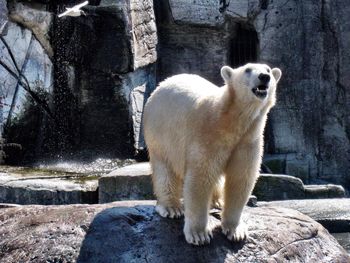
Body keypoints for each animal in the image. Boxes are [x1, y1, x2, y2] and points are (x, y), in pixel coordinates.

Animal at [142, 63, 282, 246]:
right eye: (247, 70)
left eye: (268, 69)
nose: (264, 77)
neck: (231, 120)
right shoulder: (207, 134)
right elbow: (201, 178)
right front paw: (199, 235)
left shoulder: (248, 140)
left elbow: (240, 179)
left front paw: (236, 231)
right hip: (160, 133)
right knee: (165, 169)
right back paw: (171, 207)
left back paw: (218, 201)